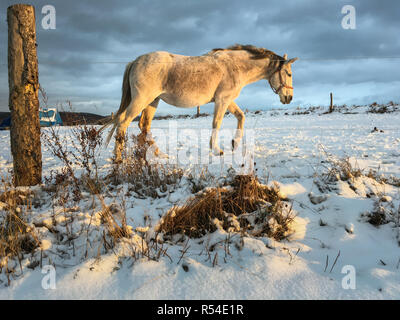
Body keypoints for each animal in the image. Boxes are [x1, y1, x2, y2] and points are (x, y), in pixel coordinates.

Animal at [101, 44, 296, 160]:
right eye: (288, 73)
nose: (289, 98)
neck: (235, 66)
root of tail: (135, 61)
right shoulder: (222, 100)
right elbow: (217, 123)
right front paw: (217, 150)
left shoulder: (227, 100)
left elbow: (241, 117)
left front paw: (235, 143)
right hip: (142, 100)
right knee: (123, 123)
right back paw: (118, 159)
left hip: (152, 102)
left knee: (144, 126)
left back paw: (158, 154)